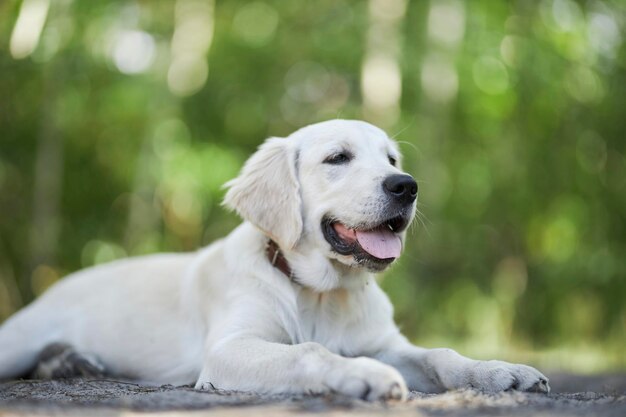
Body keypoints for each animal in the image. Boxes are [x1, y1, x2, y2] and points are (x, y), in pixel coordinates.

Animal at [0, 120, 544, 400]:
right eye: (338, 158)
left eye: (391, 159)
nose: (406, 186)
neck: (321, 293)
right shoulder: (229, 349)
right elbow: (309, 352)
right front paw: (365, 376)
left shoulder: (383, 342)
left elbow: (440, 354)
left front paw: (498, 372)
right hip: (18, 339)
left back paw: (72, 364)